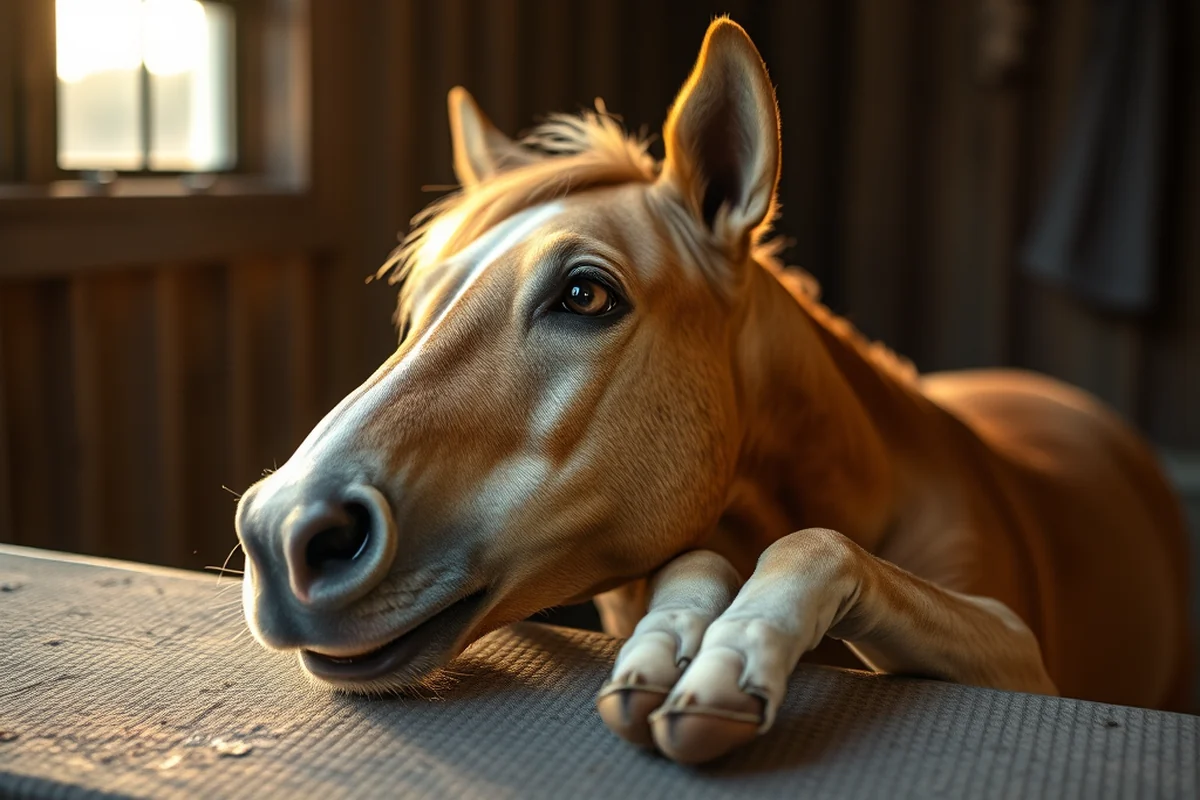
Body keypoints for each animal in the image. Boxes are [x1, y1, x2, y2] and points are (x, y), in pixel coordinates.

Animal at [234, 17, 1192, 765]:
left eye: (585, 294)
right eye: (418, 309)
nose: (282, 532)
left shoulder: (1020, 654)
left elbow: (820, 545)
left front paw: (732, 657)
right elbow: (695, 560)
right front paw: (673, 645)